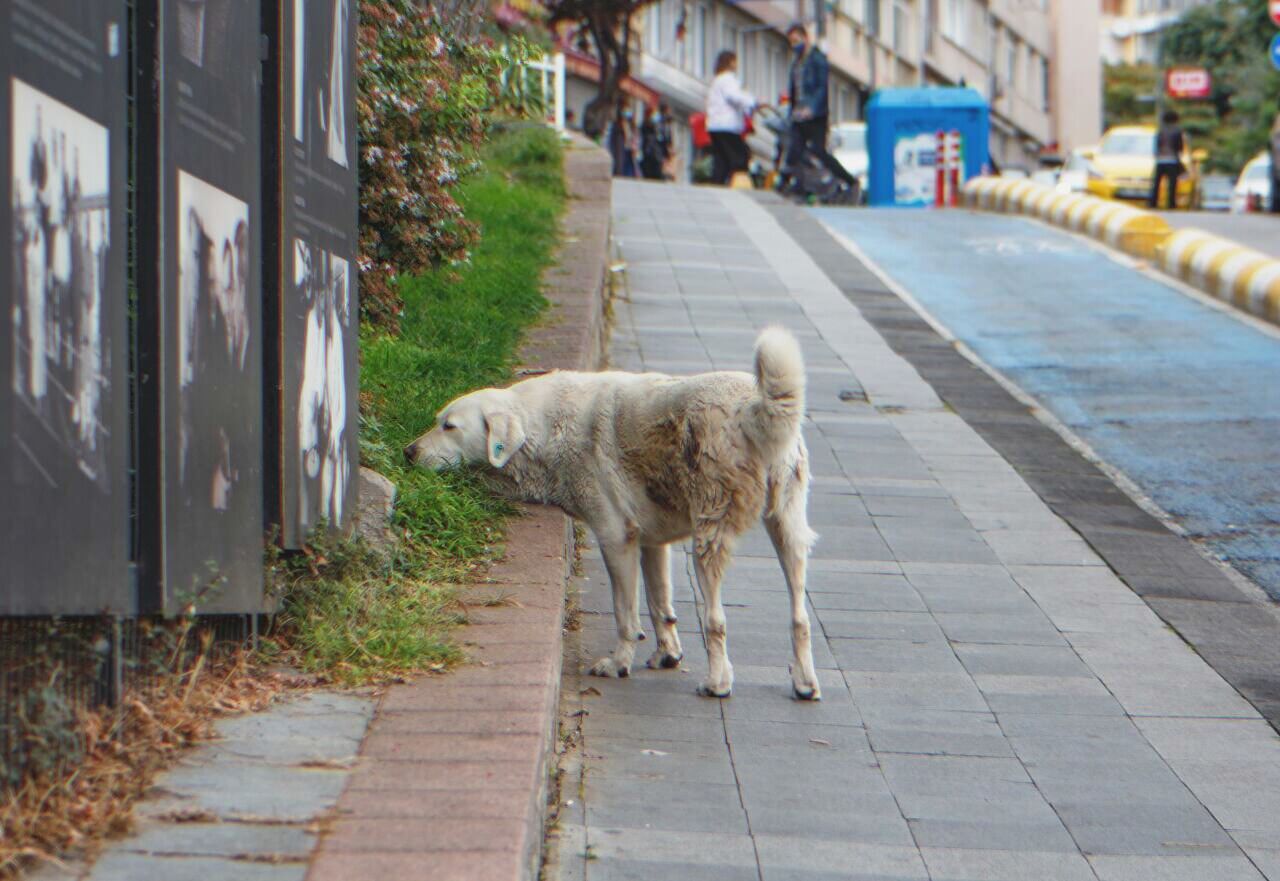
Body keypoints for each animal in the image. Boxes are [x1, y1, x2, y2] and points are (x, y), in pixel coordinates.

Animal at [407, 326, 819, 696]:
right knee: (800, 618)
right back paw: (804, 683)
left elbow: (626, 614)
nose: (407, 452)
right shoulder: (654, 544)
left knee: (716, 620)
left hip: (708, 539)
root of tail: (753, 409)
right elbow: (659, 605)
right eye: (438, 421)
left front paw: (619, 663)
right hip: (788, 533)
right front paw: (667, 655)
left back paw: (718, 683)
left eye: (449, 426)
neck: (544, 427)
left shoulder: (615, 537)